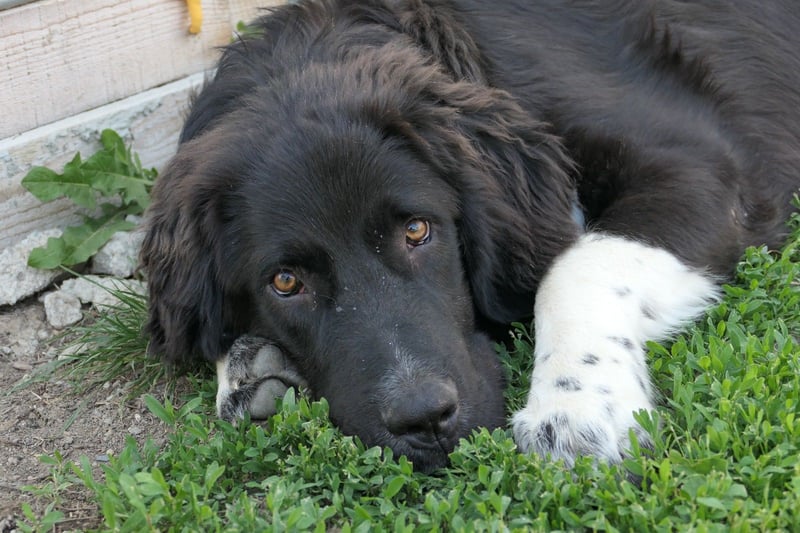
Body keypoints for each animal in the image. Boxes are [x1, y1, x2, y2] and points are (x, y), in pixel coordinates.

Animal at [140, 0, 800, 473]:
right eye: (284, 282)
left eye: (418, 229)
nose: (424, 421)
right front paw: (247, 366)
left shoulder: (705, 171)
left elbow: (576, 266)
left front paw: (577, 410)